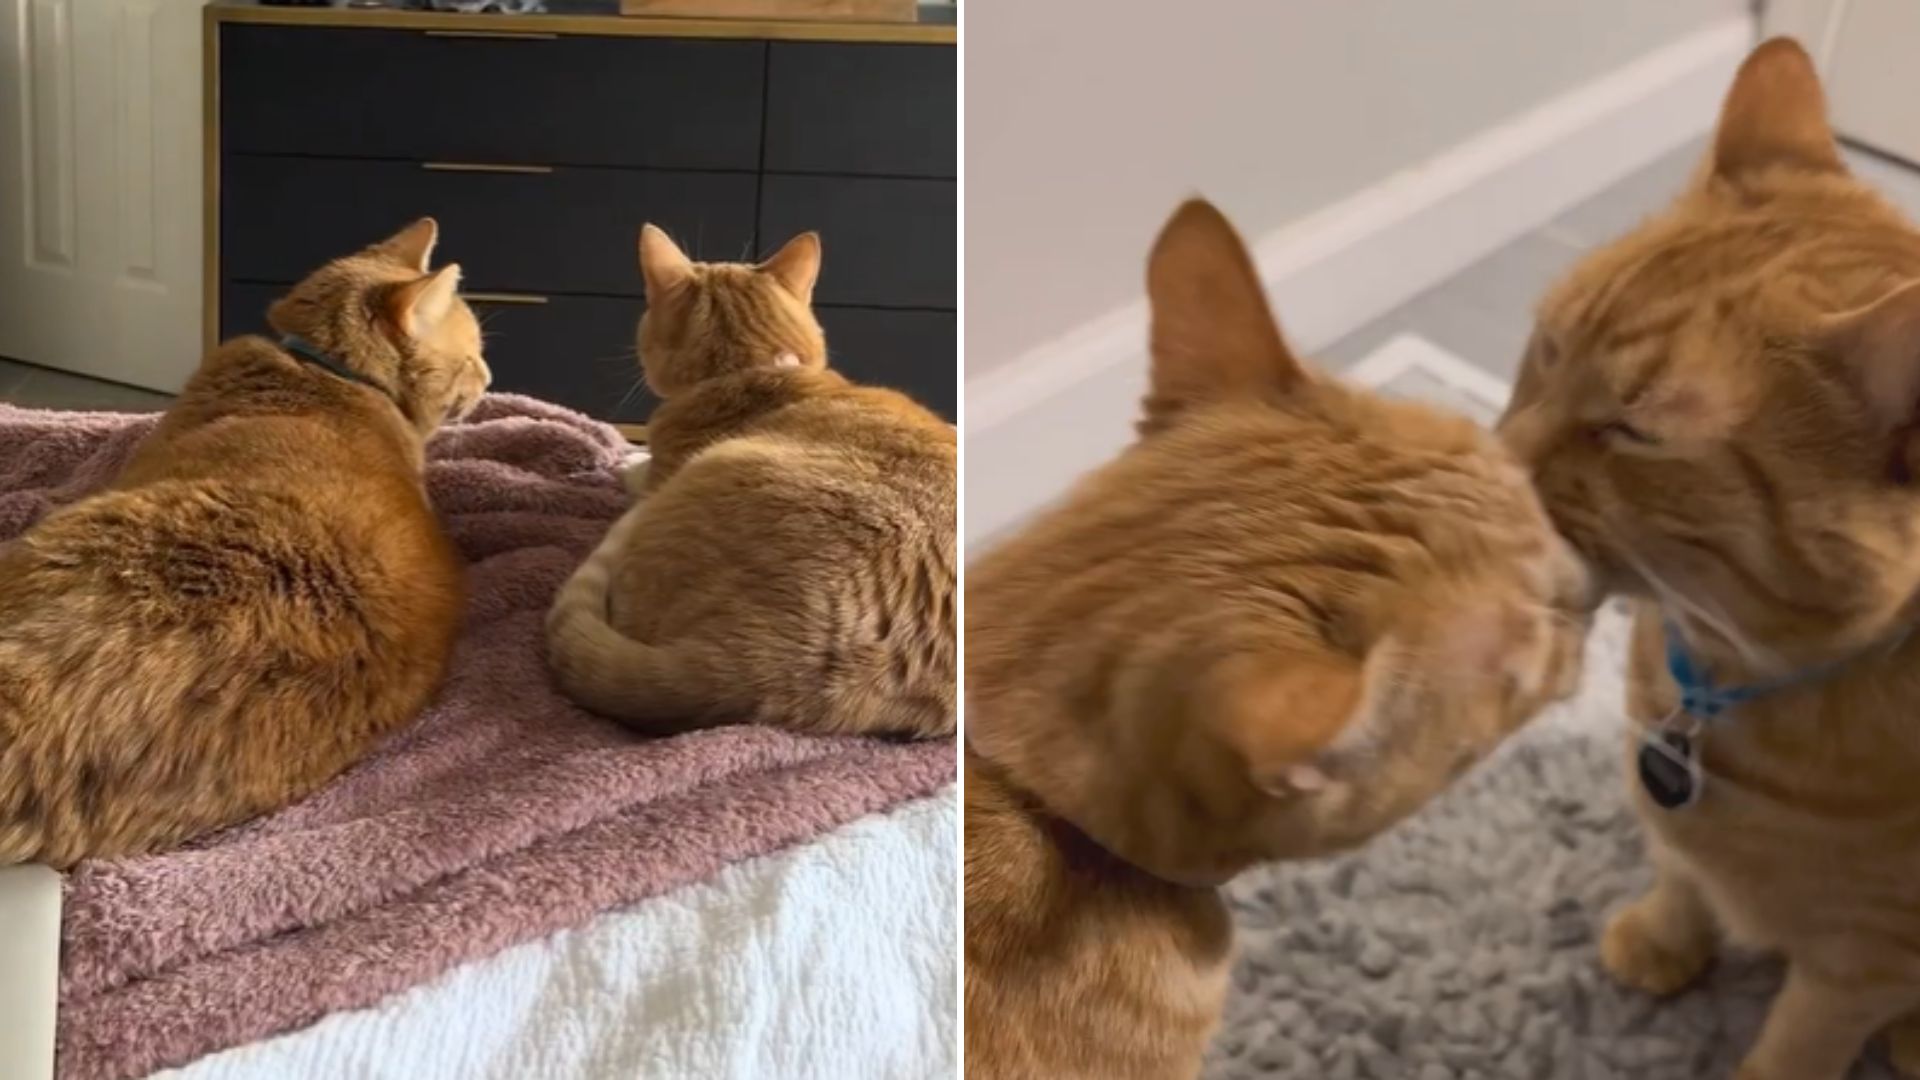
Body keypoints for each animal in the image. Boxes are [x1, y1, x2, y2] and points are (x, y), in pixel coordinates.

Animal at [1505, 35, 1920, 1076]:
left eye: (1633, 431)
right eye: (1549, 347)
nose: (1497, 460)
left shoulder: (1866, 961)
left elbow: (1794, 1048)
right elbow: (1681, 875)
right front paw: (1664, 937)